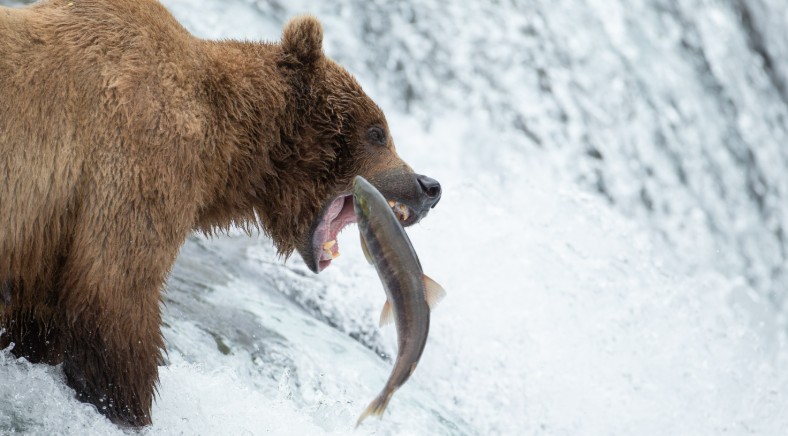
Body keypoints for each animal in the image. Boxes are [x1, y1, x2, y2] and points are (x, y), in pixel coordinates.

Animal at [0, 0, 441, 427]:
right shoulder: (141, 157)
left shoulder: (48, 227)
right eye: (377, 132)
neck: (227, 149)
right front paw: (128, 408)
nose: (429, 186)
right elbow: (115, 290)